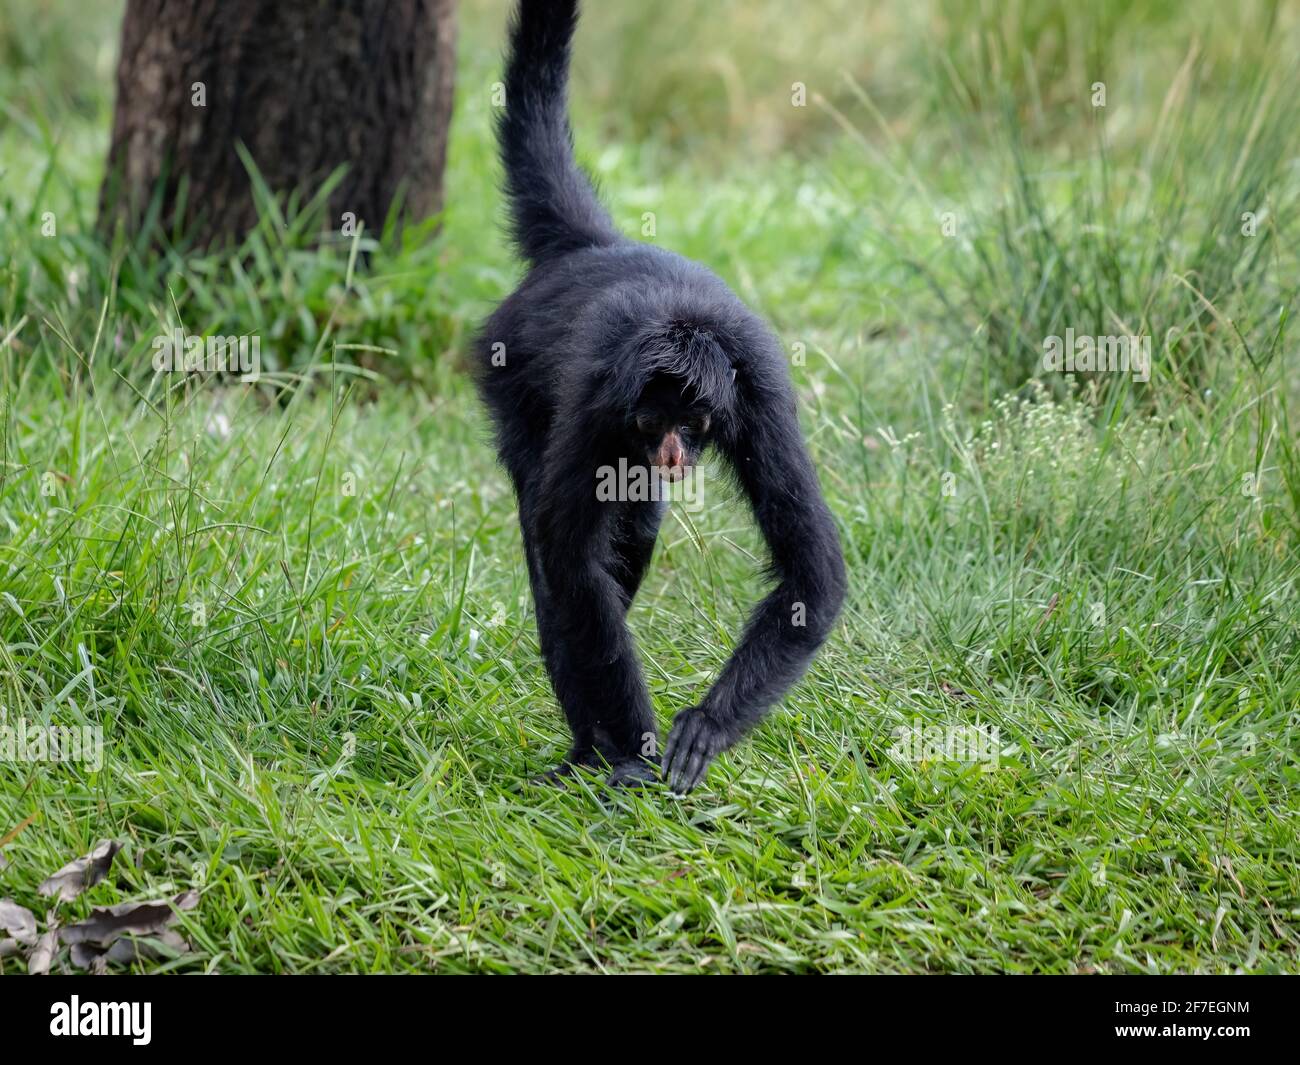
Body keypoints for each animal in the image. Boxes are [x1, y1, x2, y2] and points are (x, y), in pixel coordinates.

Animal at [473, 0, 846, 793]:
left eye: (697, 418)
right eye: (651, 418)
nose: (671, 451)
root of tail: (596, 248)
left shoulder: (758, 392)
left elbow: (812, 572)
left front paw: (704, 725)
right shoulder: (597, 401)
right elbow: (571, 566)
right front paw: (636, 748)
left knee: (636, 524)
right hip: (511, 382)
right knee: (561, 561)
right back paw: (590, 749)